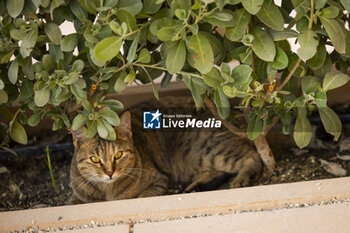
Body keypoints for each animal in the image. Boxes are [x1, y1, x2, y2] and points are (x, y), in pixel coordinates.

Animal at [68, 99, 262, 204]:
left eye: (118, 155)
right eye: (94, 159)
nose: (109, 172)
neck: (109, 191)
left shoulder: (159, 180)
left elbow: (142, 196)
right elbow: (75, 200)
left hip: (201, 150)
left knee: (252, 157)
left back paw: (240, 179)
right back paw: (194, 187)